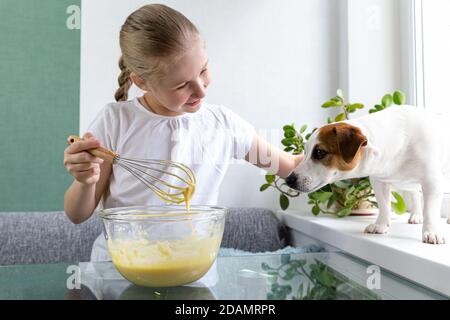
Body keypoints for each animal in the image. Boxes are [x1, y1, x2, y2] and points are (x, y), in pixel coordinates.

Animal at [286, 104, 450, 242]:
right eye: (305, 153)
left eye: (320, 152)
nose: (289, 179)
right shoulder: (379, 181)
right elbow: (383, 205)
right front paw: (381, 225)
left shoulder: (432, 181)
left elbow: (430, 210)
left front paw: (431, 231)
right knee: (414, 194)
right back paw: (416, 214)